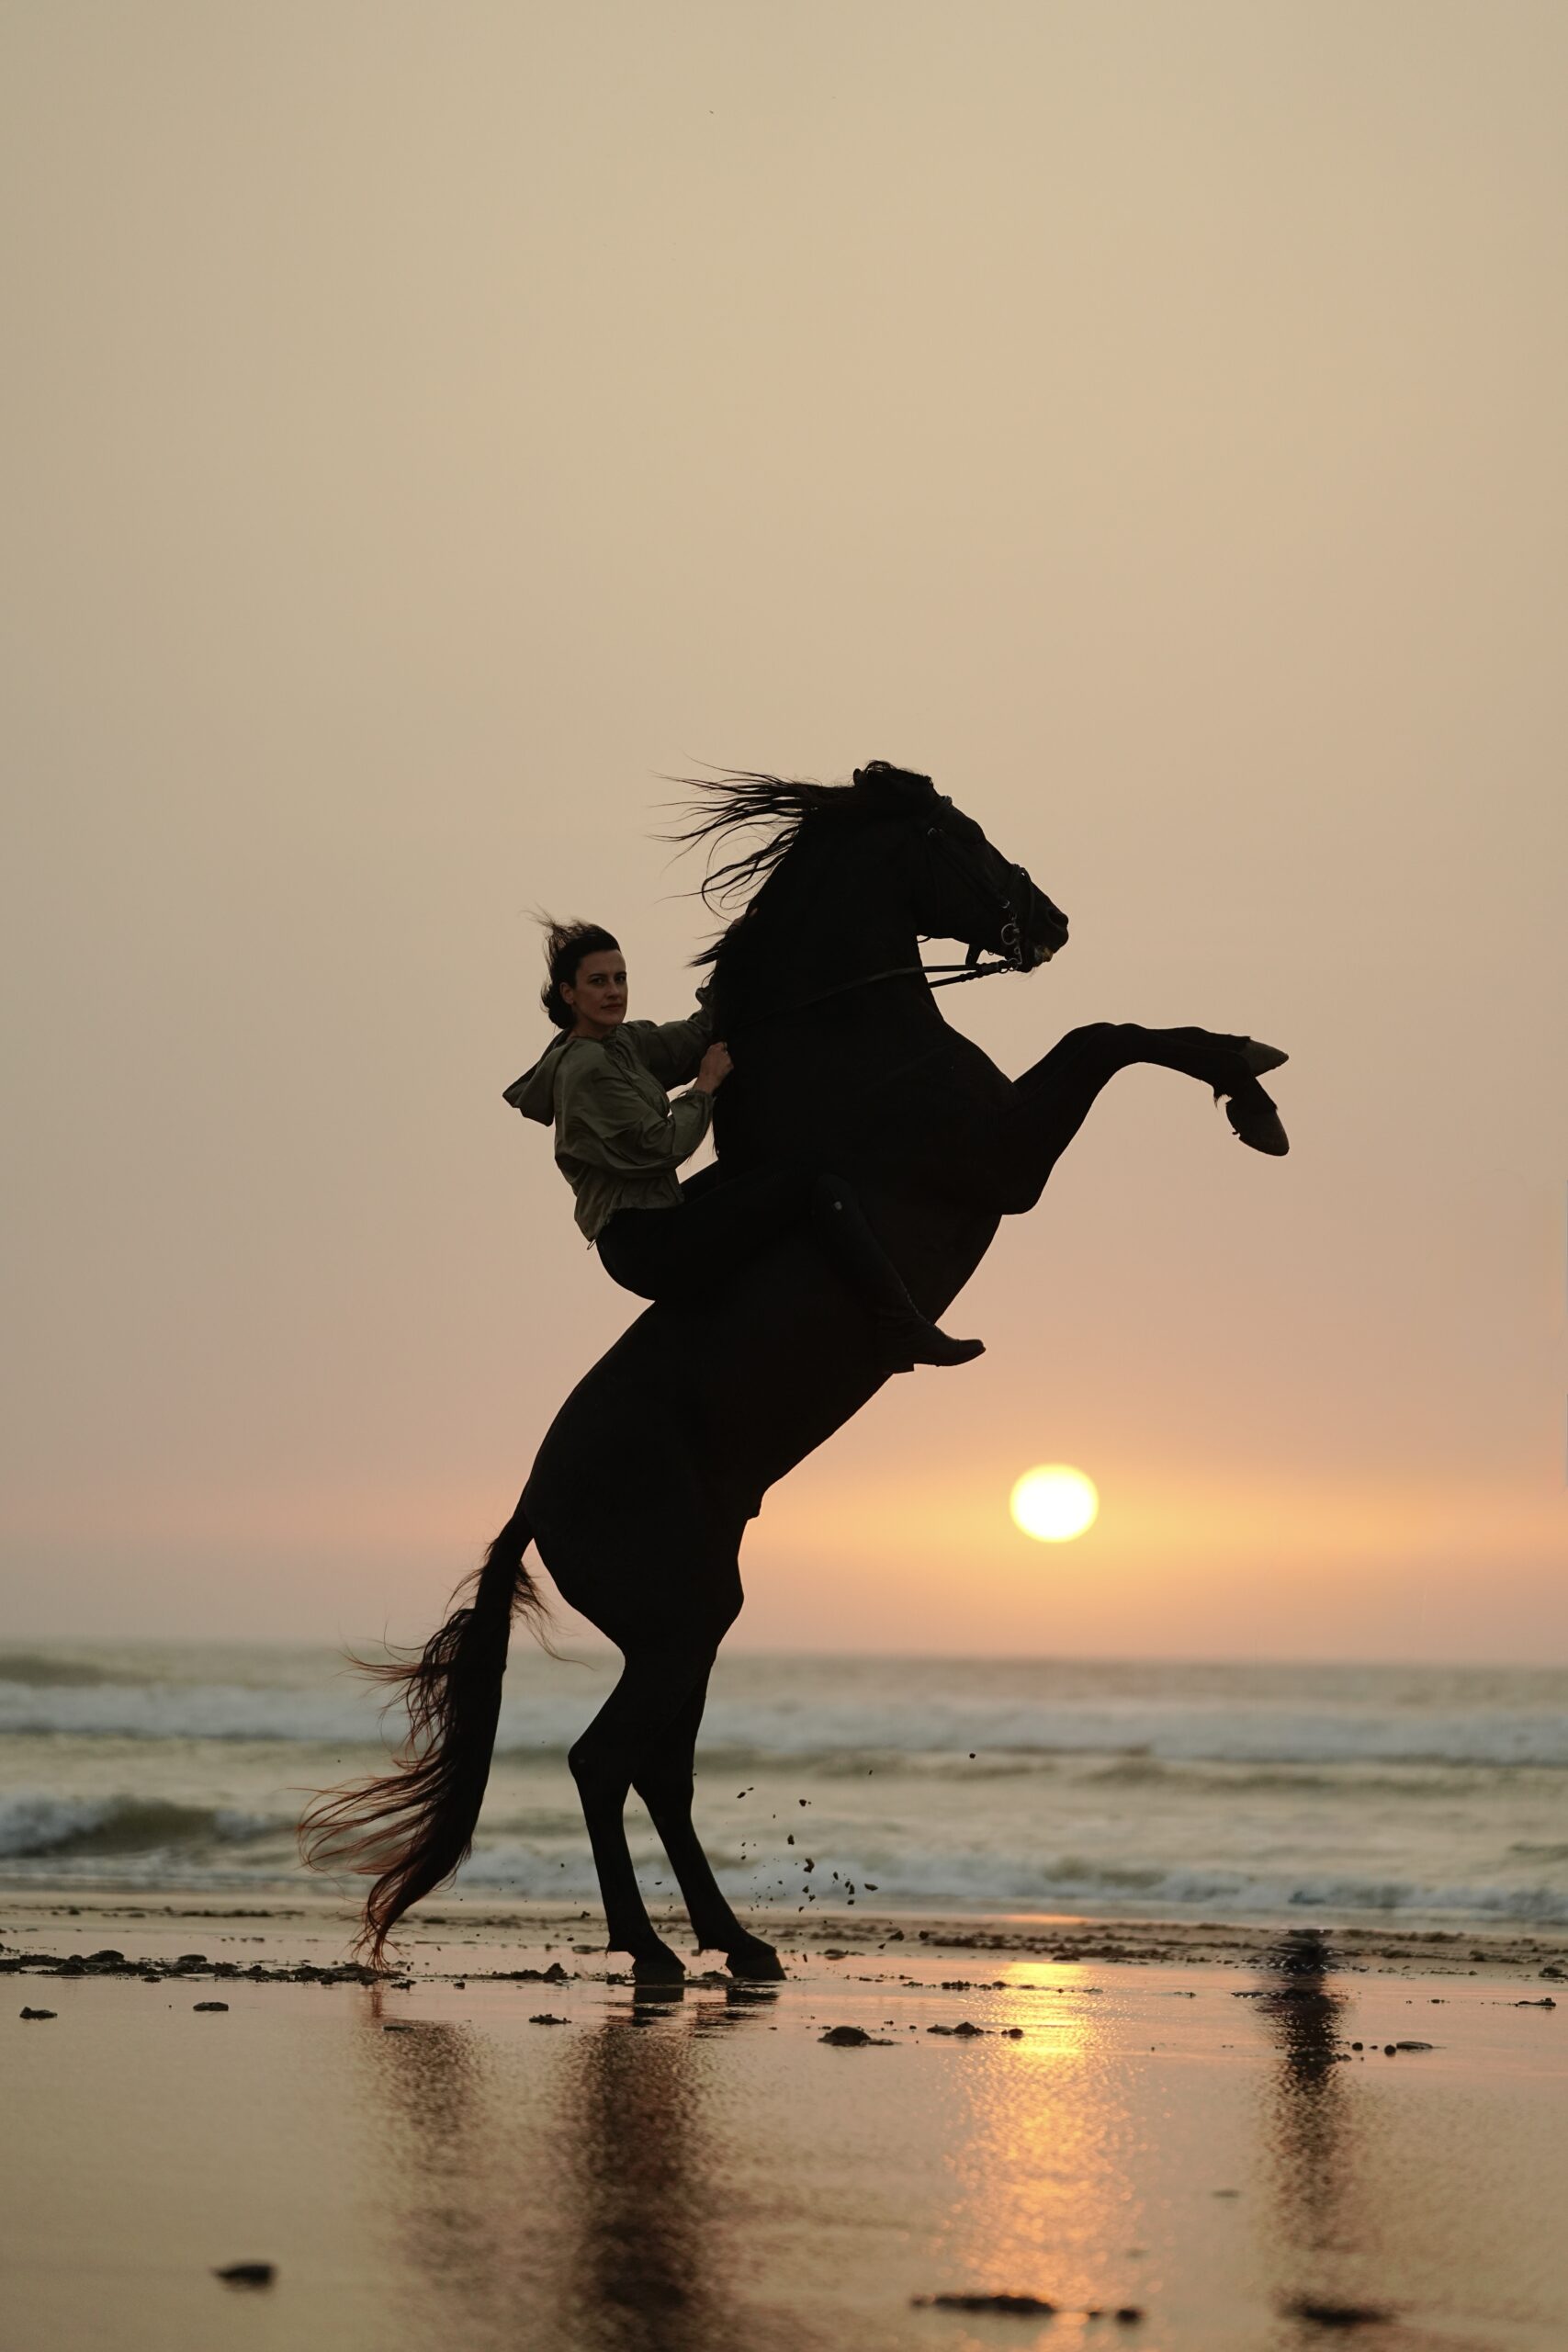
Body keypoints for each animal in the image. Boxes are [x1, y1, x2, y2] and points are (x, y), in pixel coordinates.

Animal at [300, 760, 1288, 1980]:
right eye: (958, 832)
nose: (1051, 922)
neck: (849, 1043)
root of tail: (536, 1501)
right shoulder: (1006, 1157)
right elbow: (1106, 1033)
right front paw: (1251, 1085)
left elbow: (1109, 1031)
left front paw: (1252, 1085)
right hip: (677, 1621)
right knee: (603, 1761)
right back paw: (656, 1950)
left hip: (694, 1623)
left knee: (656, 1771)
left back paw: (737, 1942)